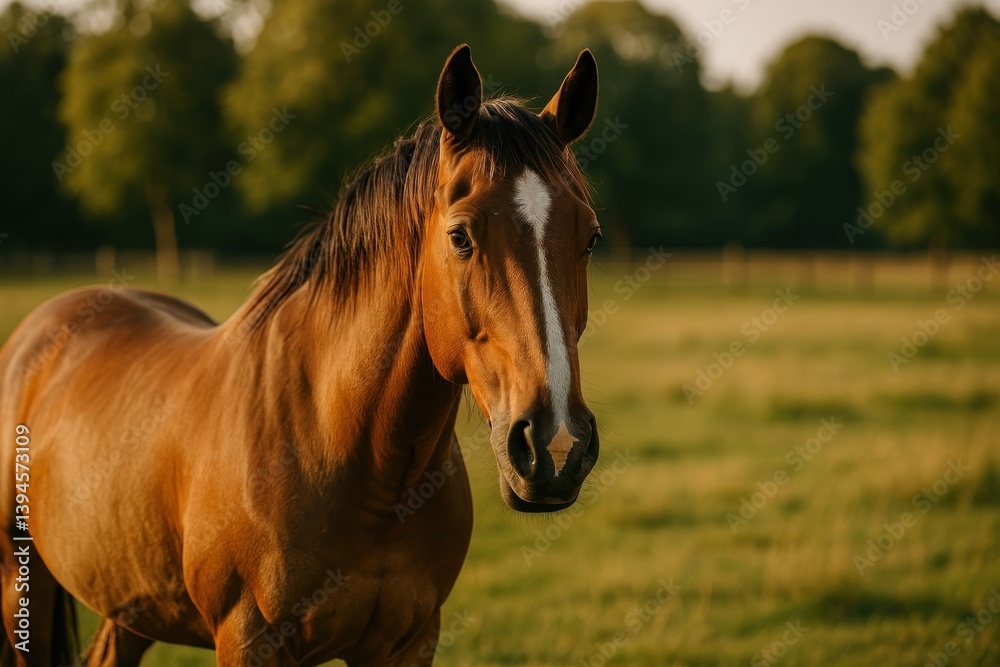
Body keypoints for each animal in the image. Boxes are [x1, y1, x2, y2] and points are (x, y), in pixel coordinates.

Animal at [0, 44, 601, 666]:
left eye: (591, 237)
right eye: (460, 236)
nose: (555, 445)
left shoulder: (408, 642)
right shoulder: (250, 642)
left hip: (133, 599)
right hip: (22, 581)